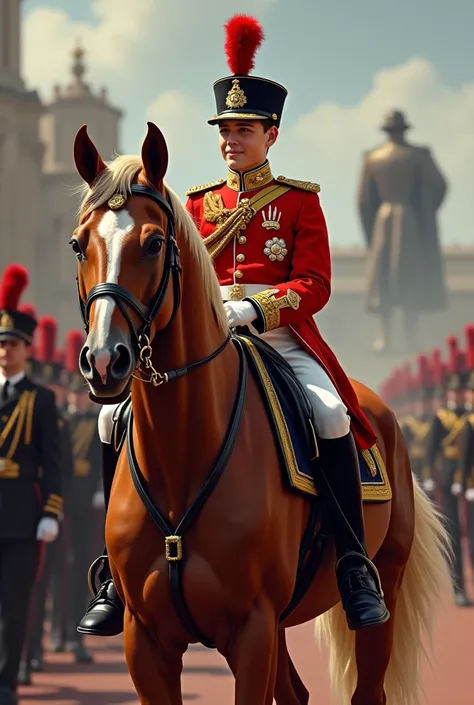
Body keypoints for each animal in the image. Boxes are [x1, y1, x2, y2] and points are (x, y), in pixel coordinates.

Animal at [70, 122, 452, 704]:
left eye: (154, 243)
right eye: (78, 244)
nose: (103, 361)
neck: (183, 455)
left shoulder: (251, 629)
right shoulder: (146, 637)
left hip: (383, 579)